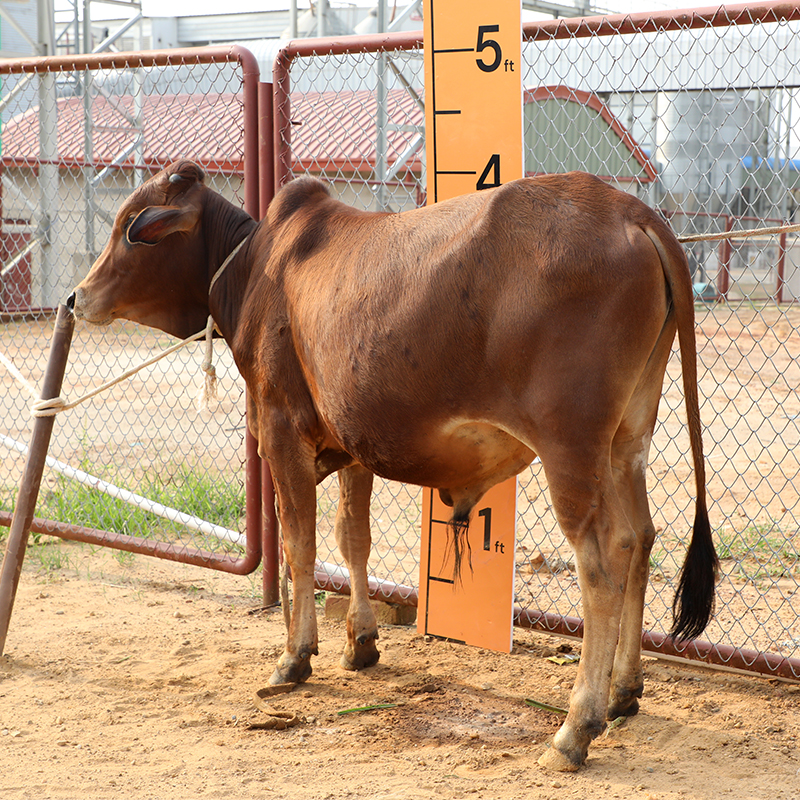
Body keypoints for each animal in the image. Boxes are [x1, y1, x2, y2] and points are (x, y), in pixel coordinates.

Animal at [68, 160, 717, 771]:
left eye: (130, 227)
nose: (76, 298)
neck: (255, 266)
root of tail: (630, 209)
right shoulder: (353, 446)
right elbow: (351, 539)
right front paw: (360, 642)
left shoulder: (281, 431)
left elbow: (300, 543)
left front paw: (294, 656)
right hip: (626, 442)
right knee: (638, 539)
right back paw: (624, 691)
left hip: (571, 449)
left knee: (601, 567)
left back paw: (575, 728)